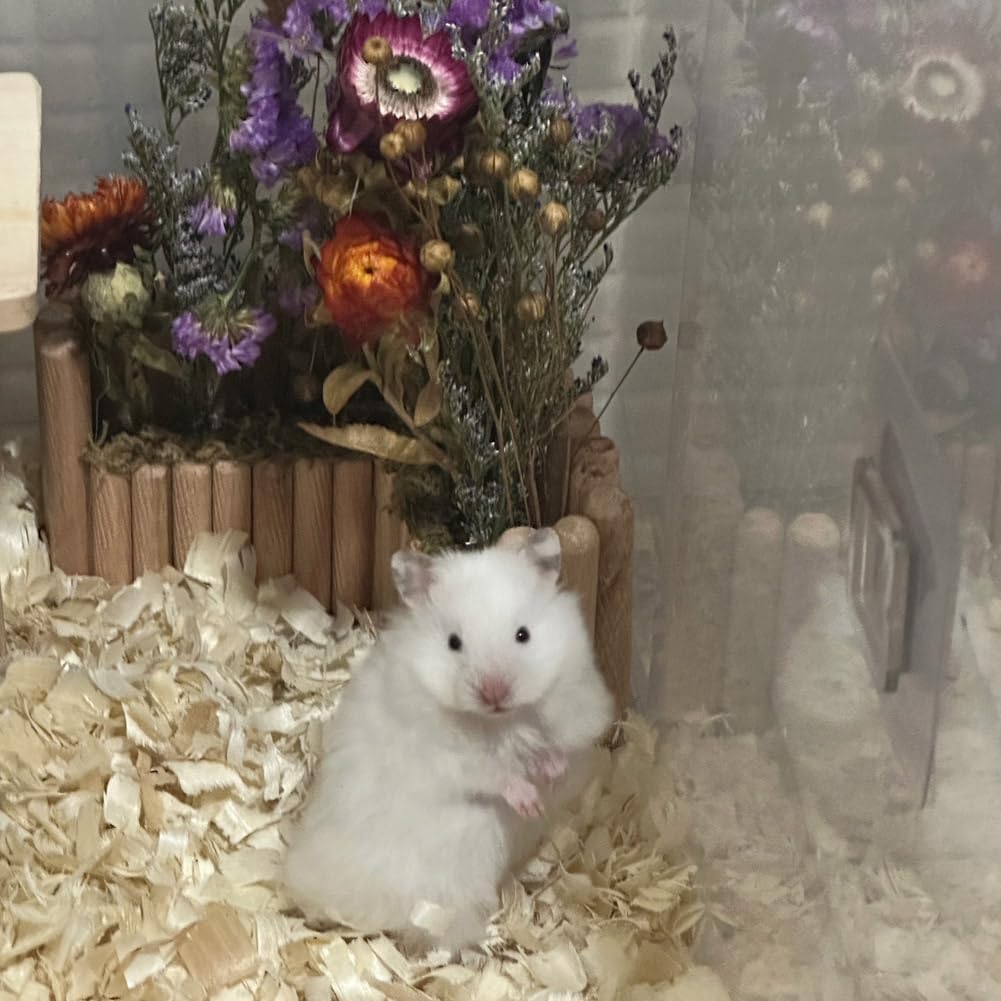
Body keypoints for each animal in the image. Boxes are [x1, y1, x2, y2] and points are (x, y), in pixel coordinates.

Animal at [282, 527, 614, 954]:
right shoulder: (447, 758)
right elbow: (493, 773)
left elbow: (547, 748)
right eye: (454, 642)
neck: (499, 721)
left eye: (523, 635)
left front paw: (552, 775)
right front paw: (529, 803)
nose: (494, 692)